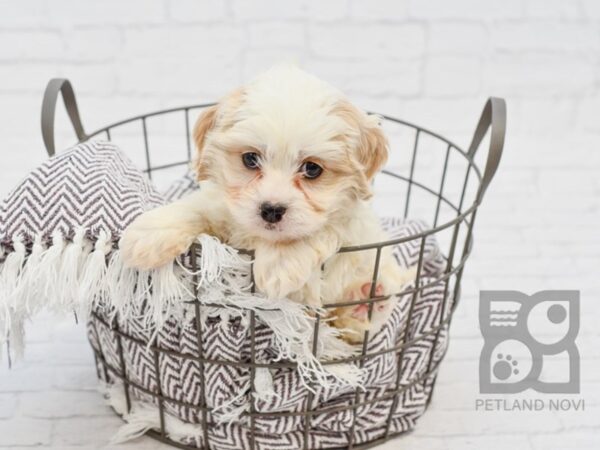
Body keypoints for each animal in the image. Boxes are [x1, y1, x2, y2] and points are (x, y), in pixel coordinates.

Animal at [120, 65, 414, 342]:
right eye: (250, 159)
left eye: (312, 169)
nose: (272, 210)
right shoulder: (221, 206)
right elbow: (194, 208)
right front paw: (146, 237)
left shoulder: (348, 221)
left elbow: (320, 230)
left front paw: (279, 264)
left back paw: (365, 303)